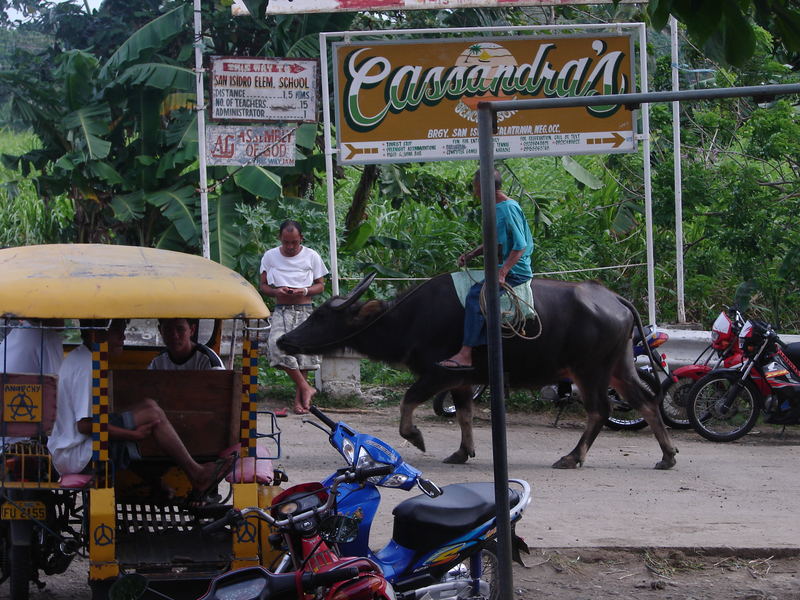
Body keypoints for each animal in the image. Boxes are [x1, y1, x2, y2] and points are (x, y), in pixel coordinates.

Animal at [278, 274, 680, 472]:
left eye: (321, 316)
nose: (284, 340)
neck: (410, 318)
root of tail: (615, 299)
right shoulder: (461, 380)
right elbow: (465, 415)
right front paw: (462, 451)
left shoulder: (437, 374)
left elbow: (408, 401)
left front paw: (416, 437)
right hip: (619, 367)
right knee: (646, 402)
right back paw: (667, 455)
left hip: (589, 369)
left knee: (601, 410)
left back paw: (572, 457)